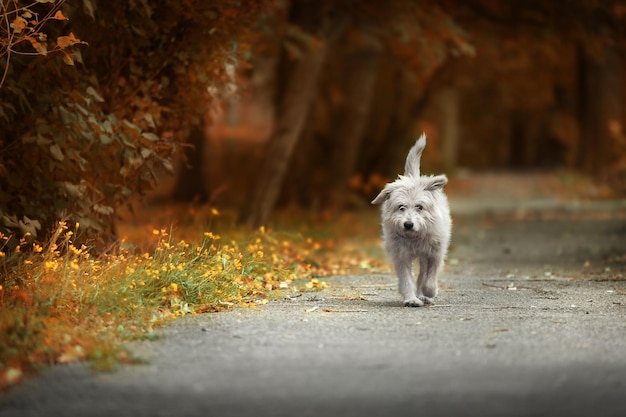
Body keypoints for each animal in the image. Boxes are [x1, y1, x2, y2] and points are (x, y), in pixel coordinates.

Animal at [370, 133, 448, 306]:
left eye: (419, 207)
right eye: (401, 207)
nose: (408, 224)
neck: (414, 237)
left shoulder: (435, 253)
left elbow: (430, 277)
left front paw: (429, 292)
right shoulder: (401, 255)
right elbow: (406, 279)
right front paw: (411, 299)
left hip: (425, 255)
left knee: (423, 274)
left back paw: (424, 295)